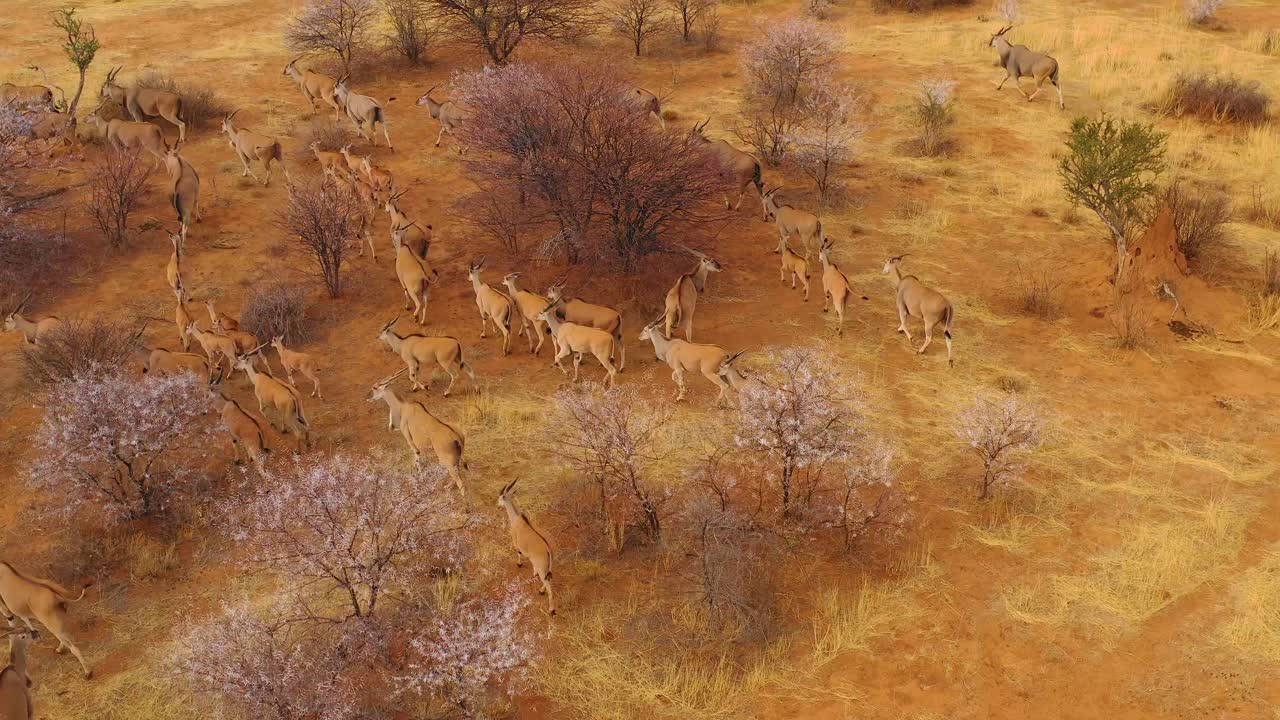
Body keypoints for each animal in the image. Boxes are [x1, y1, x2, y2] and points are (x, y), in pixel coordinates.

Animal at [497, 479, 556, 615]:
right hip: (547, 569)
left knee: (549, 586)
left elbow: (518, 553)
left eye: (501, 497)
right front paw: (533, 573)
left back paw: (551, 608)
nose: (497, 506)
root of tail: (547, 549)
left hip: (543, 569)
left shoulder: (515, 542)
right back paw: (541, 590)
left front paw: (519, 564)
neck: (517, 519)